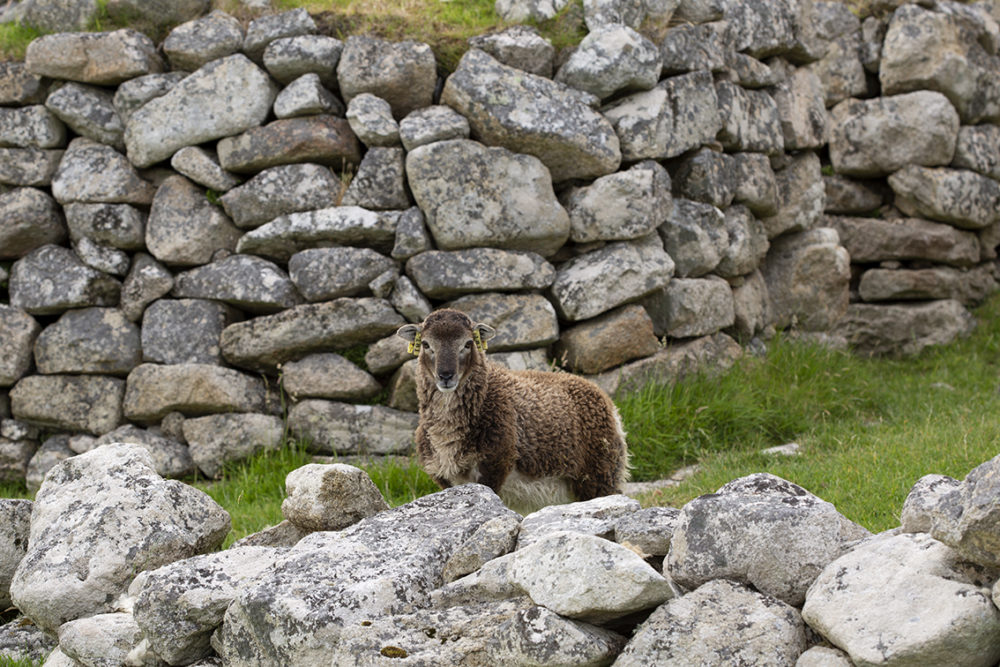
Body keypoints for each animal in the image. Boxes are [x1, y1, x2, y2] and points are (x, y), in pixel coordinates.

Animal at [394, 310, 628, 516]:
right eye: (426, 344)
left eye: (468, 344)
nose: (445, 376)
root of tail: (608, 402)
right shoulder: (445, 478)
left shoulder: (494, 465)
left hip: (599, 474)